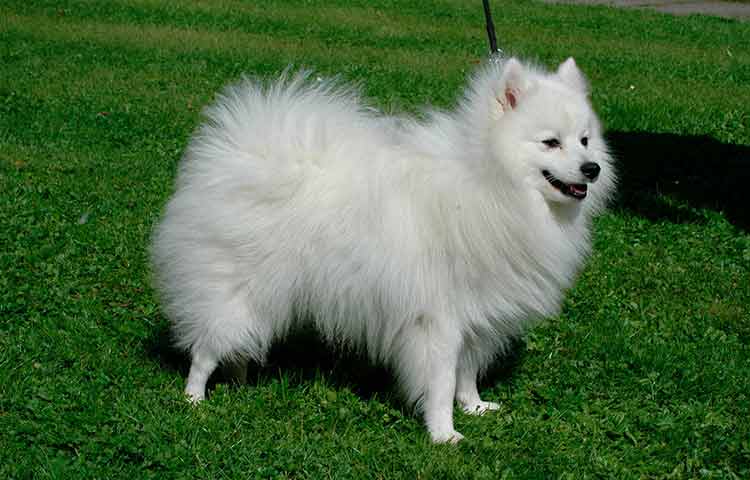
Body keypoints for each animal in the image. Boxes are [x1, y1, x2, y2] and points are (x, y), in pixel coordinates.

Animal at [151, 58, 616, 444]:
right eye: (551, 142)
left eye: (585, 140)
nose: (591, 168)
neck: (491, 185)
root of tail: (238, 157)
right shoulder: (439, 321)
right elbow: (442, 382)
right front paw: (444, 435)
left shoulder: (478, 316)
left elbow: (467, 372)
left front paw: (475, 407)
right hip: (238, 291)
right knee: (206, 347)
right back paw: (194, 400)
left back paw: (242, 380)